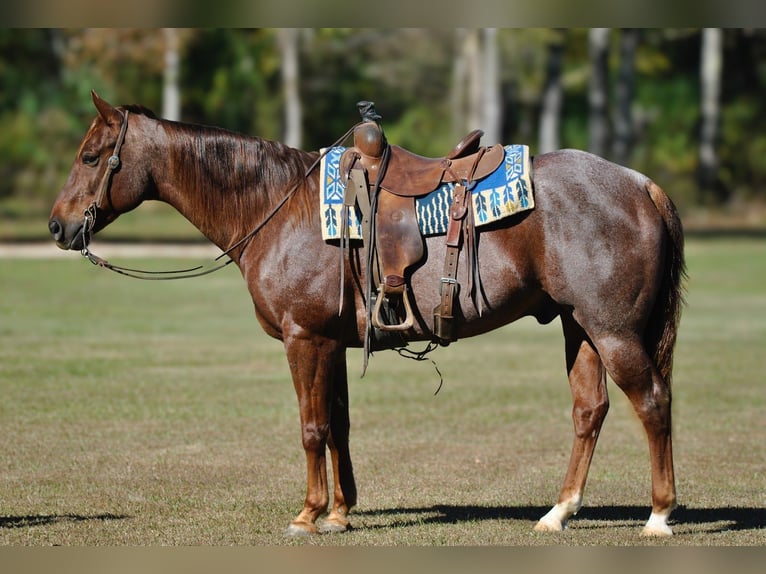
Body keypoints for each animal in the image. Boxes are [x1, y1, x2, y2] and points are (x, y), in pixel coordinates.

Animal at [49, 91, 686, 537]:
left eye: (90, 156)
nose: (57, 225)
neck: (280, 208)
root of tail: (640, 184)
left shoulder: (304, 339)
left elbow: (311, 428)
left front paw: (308, 514)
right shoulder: (332, 342)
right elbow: (338, 425)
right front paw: (340, 512)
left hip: (613, 331)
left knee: (652, 402)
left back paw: (658, 515)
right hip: (581, 329)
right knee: (589, 410)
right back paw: (559, 511)